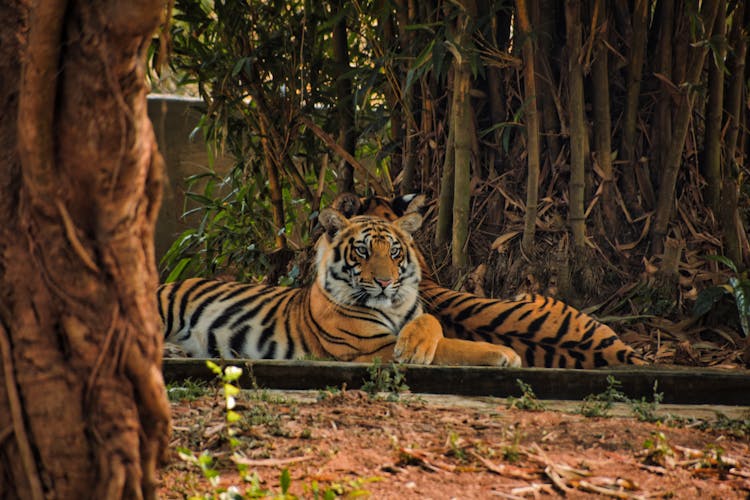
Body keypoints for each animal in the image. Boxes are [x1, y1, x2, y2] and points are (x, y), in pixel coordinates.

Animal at [159, 205, 524, 366]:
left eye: (394, 251)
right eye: (362, 251)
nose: (385, 281)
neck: (394, 307)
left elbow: (433, 324)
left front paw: (417, 344)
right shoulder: (372, 349)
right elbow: (452, 347)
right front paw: (505, 353)